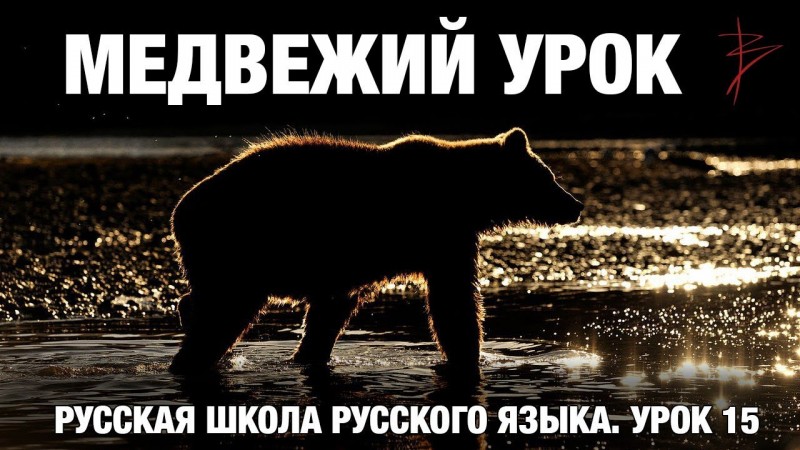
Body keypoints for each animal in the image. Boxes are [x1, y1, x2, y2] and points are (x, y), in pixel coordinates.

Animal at [168, 128, 583, 374]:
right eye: (549, 176)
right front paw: (468, 355)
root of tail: (179, 211)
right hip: (241, 248)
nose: (575, 205)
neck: (467, 196)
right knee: (224, 312)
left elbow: (331, 311)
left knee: (204, 301)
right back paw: (190, 357)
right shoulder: (443, 235)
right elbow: (454, 301)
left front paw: (309, 353)